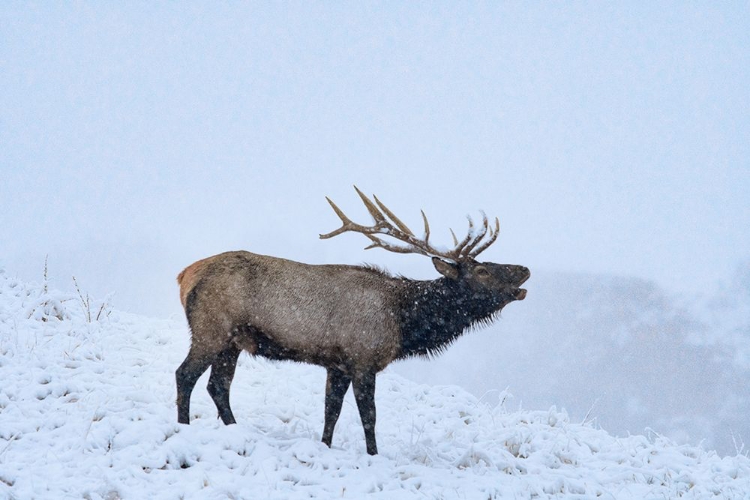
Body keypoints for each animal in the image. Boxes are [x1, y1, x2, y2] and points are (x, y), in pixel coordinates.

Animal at [177, 186, 532, 456]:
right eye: (482, 270)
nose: (524, 269)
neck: (403, 322)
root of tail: (184, 275)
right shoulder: (363, 359)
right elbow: (369, 416)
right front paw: (373, 454)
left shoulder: (338, 364)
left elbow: (330, 412)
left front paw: (325, 446)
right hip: (210, 328)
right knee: (186, 374)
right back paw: (183, 425)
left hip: (233, 341)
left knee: (218, 385)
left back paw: (235, 429)